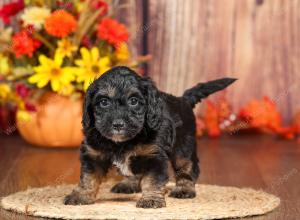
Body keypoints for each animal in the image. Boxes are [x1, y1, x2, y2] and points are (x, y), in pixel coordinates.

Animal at [64, 66, 236, 209]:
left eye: (134, 101)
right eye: (104, 102)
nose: (118, 124)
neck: (123, 142)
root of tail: (183, 99)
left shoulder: (154, 156)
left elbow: (151, 180)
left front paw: (151, 199)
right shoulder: (93, 154)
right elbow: (88, 177)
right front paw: (81, 196)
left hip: (183, 146)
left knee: (187, 167)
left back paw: (184, 188)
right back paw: (128, 184)